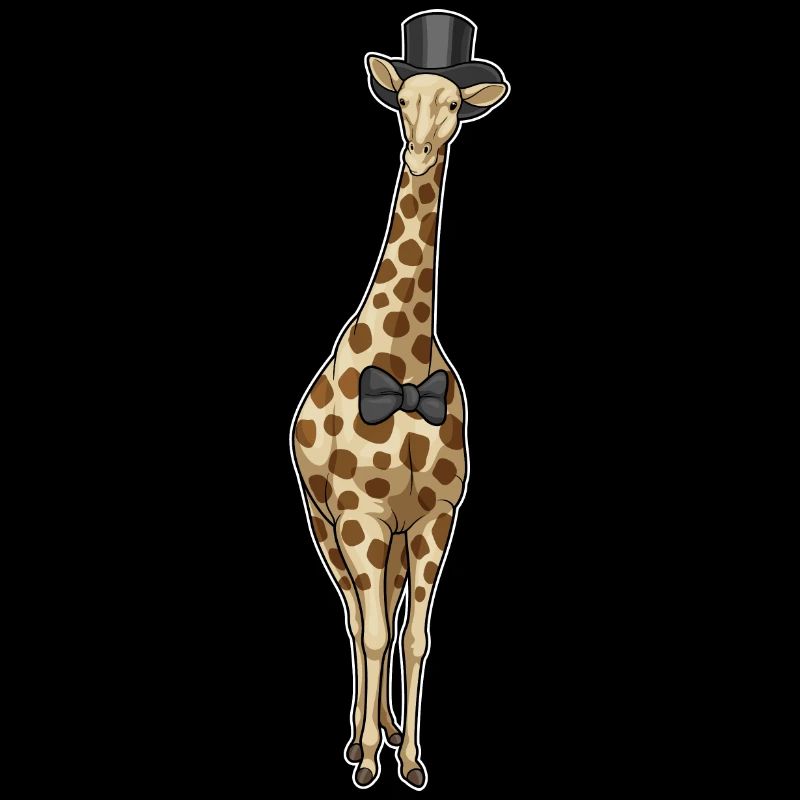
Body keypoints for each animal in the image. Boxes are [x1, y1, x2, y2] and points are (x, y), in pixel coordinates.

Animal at [290, 12, 508, 790]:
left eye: (455, 106)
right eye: (402, 102)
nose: (418, 153)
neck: (408, 368)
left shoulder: (436, 519)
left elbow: (415, 635)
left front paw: (410, 760)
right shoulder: (360, 515)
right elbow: (376, 630)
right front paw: (366, 762)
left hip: (387, 539)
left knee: (381, 610)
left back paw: (381, 730)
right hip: (324, 523)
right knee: (357, 621)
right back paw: (359, 741)